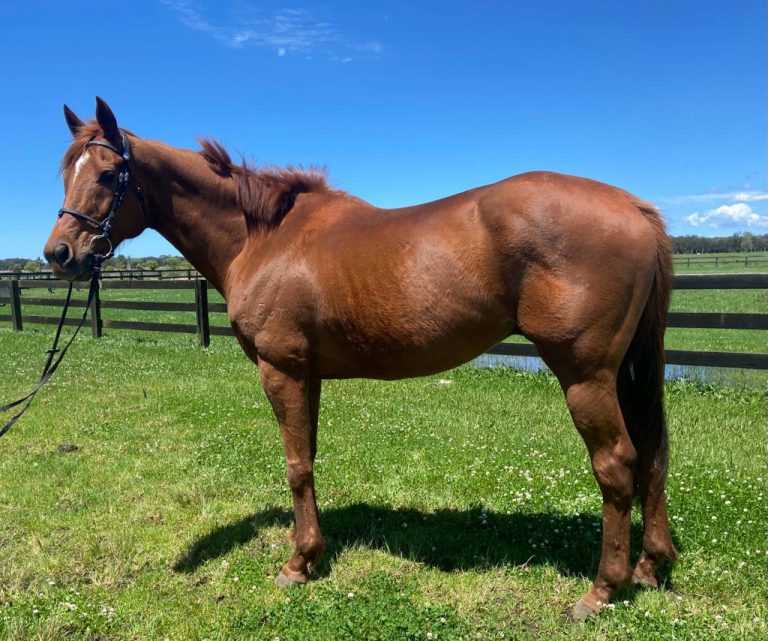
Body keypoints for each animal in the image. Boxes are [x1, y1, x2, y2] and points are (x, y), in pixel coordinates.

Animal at [43, 97, 677, 620]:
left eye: (108, 174)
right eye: (66, 172)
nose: (59, 254)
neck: (264, 238)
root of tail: (632, 205)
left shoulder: (282, 370)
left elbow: (296, 465)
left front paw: (298, 564)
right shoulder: (310, 374)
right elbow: (308, 458)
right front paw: (309, 552)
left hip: (585, 375)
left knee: (617, 463)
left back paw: (603, 589)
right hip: (621, 373)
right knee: (651, 453)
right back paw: (651, 565)